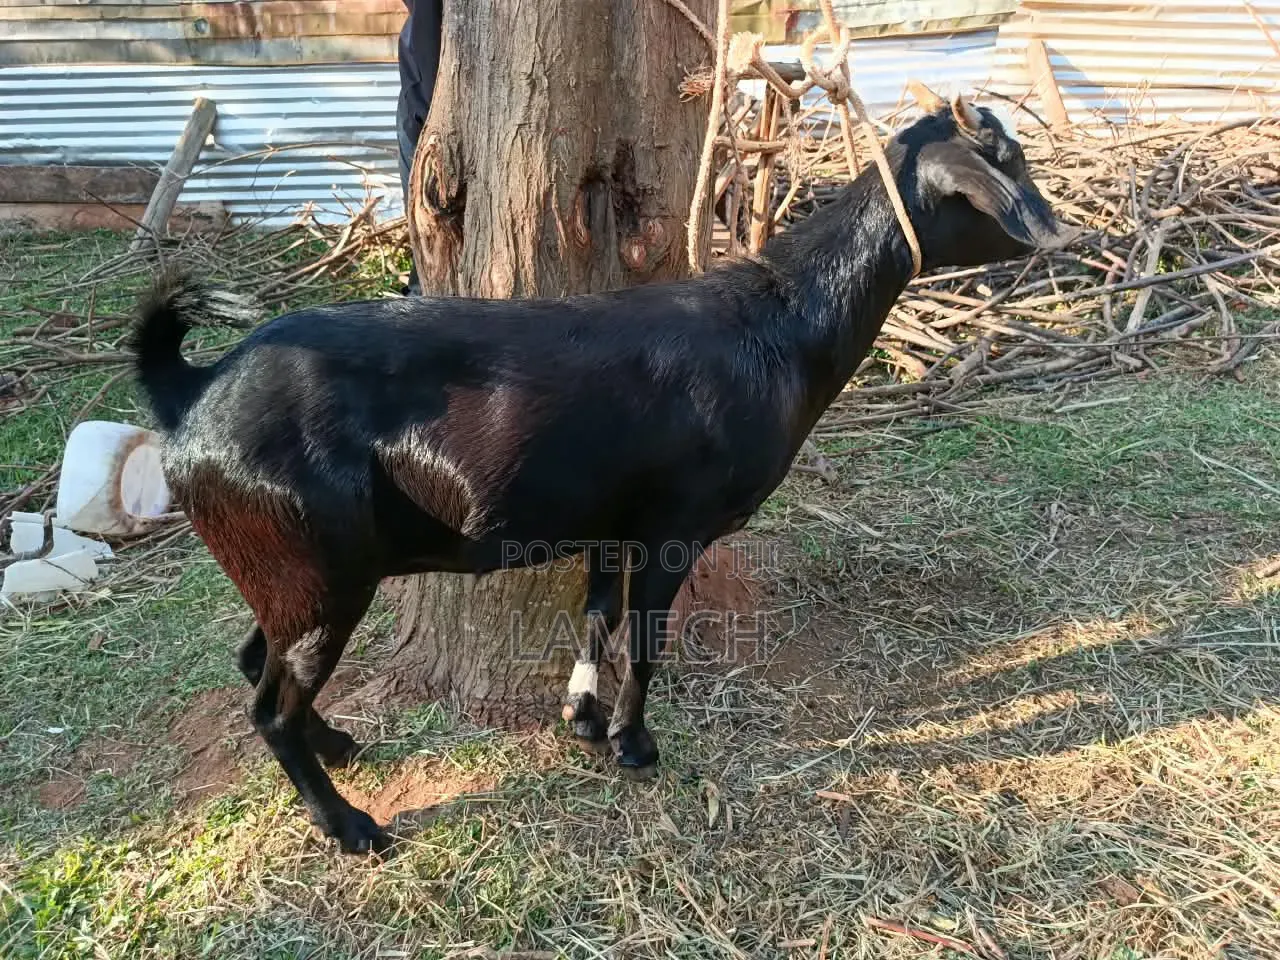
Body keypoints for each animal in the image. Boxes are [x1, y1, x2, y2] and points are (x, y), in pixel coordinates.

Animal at [128, 90, 1077, 856]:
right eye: (1007, 164)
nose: (1066, 234)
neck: (778, 326)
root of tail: (192, 393)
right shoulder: (676, 524)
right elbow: (645, 638)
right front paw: (634, 744)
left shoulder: (610, 515)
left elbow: (596, 615)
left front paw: (582, 716)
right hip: (320, 571)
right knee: (270, 707)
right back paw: (352, 826)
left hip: (287, 568)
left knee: (254, 656)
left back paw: (337, 747)